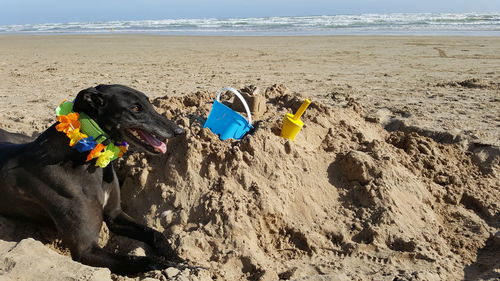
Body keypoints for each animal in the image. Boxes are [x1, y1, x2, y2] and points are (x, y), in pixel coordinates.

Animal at [0, 83, 186, 274]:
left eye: (148, 102)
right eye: (135, 108)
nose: (179, 131)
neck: (85, 160)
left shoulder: (114, 214)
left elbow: (155, 233)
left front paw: (176, 257)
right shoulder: (86, 250)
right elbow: (144, 260)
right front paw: (175, 265)